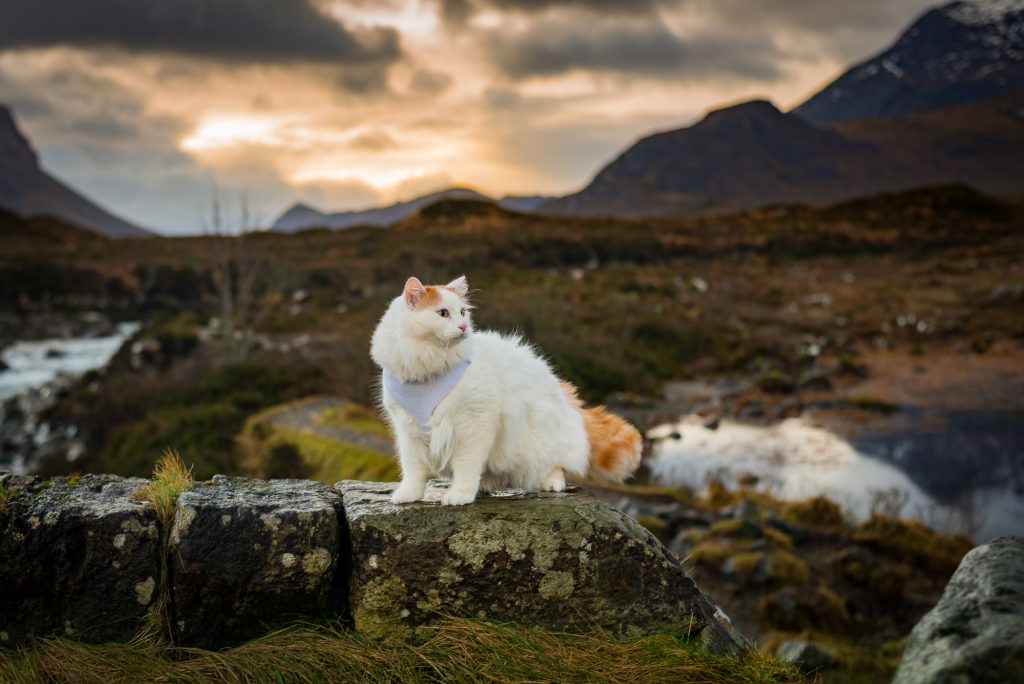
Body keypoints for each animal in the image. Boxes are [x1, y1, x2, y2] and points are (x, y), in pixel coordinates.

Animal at [368, 274, 638, 505]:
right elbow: (414, 470)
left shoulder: (474, 425)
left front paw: (460, 495)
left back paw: (551, 482)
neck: (428, 370)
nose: (464, 327)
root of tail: (565, 395)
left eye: (463, 312)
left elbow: (465, 467)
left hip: (543, 443)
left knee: (558, 465)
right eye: (442, 313)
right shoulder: (408, 430)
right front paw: (409, 495)